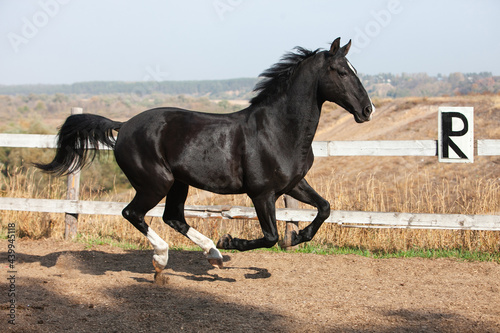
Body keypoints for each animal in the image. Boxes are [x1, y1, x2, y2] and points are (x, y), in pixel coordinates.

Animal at [35, 37, 376, 274]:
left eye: (354, 70)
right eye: (340, 71)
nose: (367, 110)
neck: (278, 130)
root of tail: (124, 125)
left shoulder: (293, 184)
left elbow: (324, 208)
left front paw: (297, 236)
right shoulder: (262, 193)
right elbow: (270, 236)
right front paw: (232, 241)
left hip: (178, 183)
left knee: (173, 217)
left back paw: (213, 255)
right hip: (155, 183)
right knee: (133, 213)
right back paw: (166, 256)